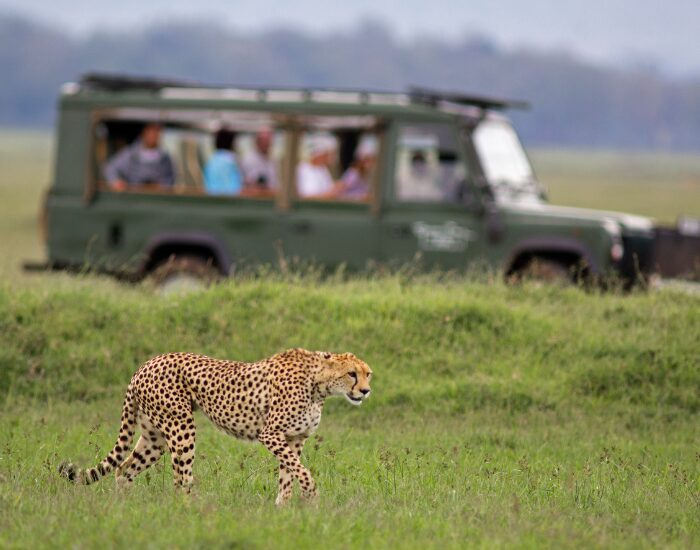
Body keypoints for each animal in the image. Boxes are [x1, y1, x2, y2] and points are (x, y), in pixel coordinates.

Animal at [58, 348, 372, 505]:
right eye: (351, 374)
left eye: (368, 374)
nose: (366, 391)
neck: (319, 384)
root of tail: (145, 364)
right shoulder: (271, 434)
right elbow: (301, 471)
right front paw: (312, 496)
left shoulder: (294, 439)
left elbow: (289, 474)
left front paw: (283, 508)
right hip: (181, 427)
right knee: (180, 479)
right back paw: (193, 510)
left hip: (154, 437)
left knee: (124, 470)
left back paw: (125, 509)